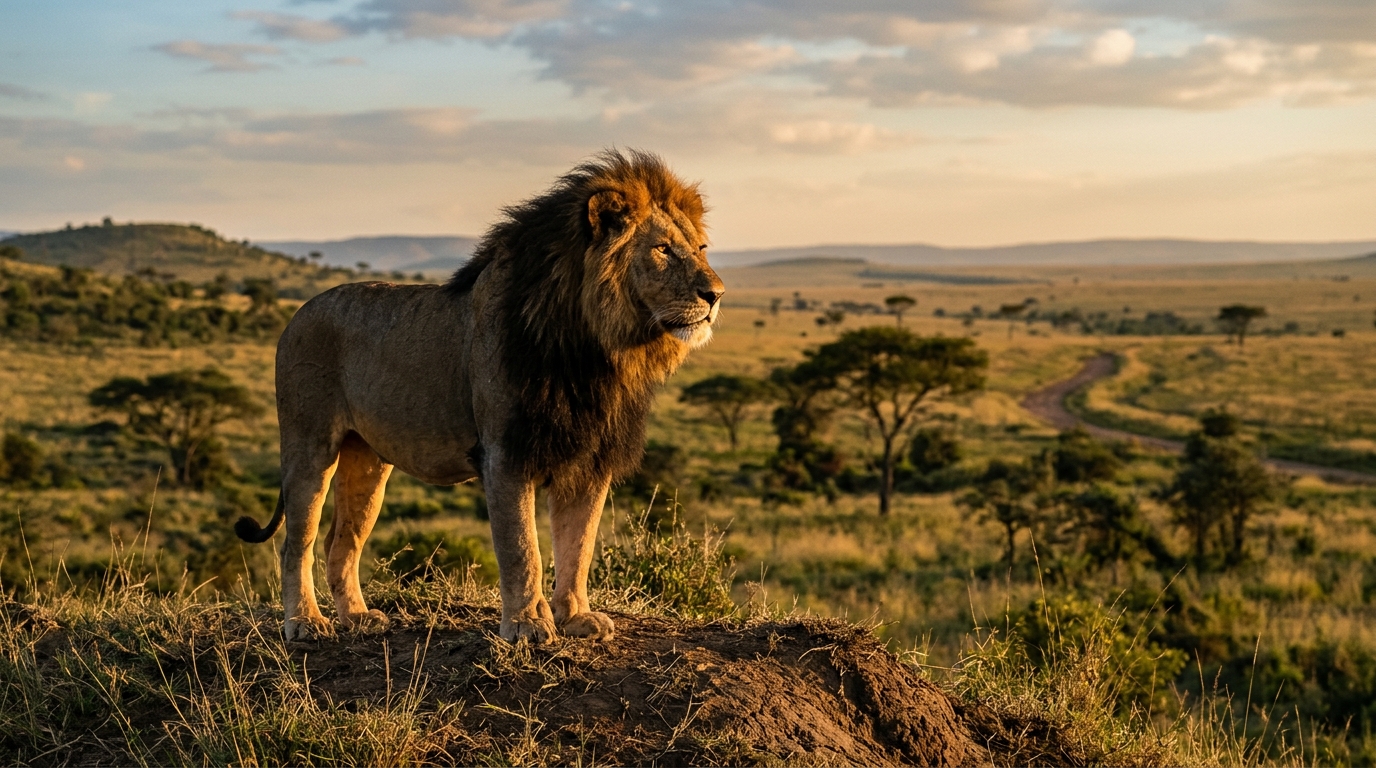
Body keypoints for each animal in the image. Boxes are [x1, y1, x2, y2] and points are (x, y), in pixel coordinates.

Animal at [234, 150, 723, 643]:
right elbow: (522, 548)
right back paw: (305, 621)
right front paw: (528, 624)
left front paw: (575, 617)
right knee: (297, 542)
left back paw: (356, 616)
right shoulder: (505, 452)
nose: (716, 294)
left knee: (342, 540)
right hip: (310, 445)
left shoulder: (589, 459)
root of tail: (297, 314)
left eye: (701, 249)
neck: (596, 349)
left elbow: (578, 545)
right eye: (663, 249)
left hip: (367, 461)